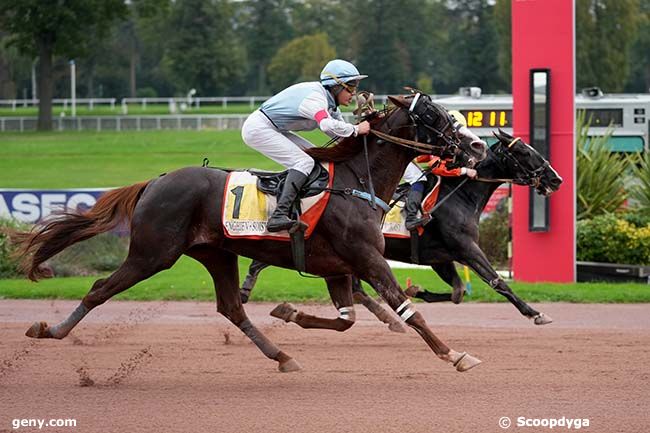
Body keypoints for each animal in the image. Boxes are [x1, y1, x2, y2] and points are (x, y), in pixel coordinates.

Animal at [8, 93, 486, 372]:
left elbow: (346, 320)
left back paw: (283, 356)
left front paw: (290, 313)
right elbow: (408, 311)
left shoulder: (338, 266)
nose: (477, 146)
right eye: (435, 115)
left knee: (231, 308)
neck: (358, 178)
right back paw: (50, 331)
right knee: (99, 289)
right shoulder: (366, 258)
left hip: (216, 253)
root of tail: (155, 181)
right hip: (152, 253)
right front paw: (456, 354)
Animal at [240, 130, 560, 330]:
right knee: (262, 262)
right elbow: (497, 281)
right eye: (524, 152)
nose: (556, 179)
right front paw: (535, 313)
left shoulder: (440, 257)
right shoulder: (466, 248)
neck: (458, 196)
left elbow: (458, 292)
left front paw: (415, 289)